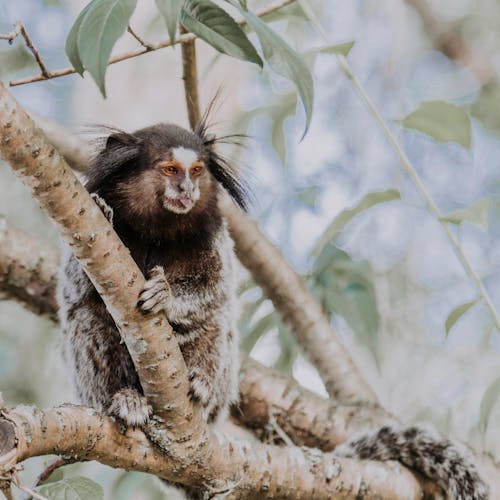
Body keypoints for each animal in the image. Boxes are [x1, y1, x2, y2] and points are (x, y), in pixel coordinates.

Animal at [55, 119, 488, 498]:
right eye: (170, 169)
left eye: (196, 170)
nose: (187, 188)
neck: (157, 229)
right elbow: (79, 287)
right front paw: (106, 214)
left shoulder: (213, 236)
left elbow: (216, 292)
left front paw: (166, 295)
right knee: (89, 321)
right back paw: (126, 399)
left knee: (216, 327)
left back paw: (200, 386)